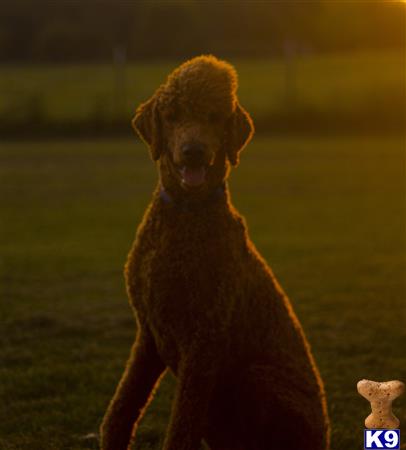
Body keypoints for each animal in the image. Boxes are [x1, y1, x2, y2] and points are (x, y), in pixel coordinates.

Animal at [100, 54, 330, 448]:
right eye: (173, 114)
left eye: (213, 116)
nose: (194, 152)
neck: (185, 215)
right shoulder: (149, 333)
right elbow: (121, 408)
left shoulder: (204, 339)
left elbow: (180, 430)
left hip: (258, 377)